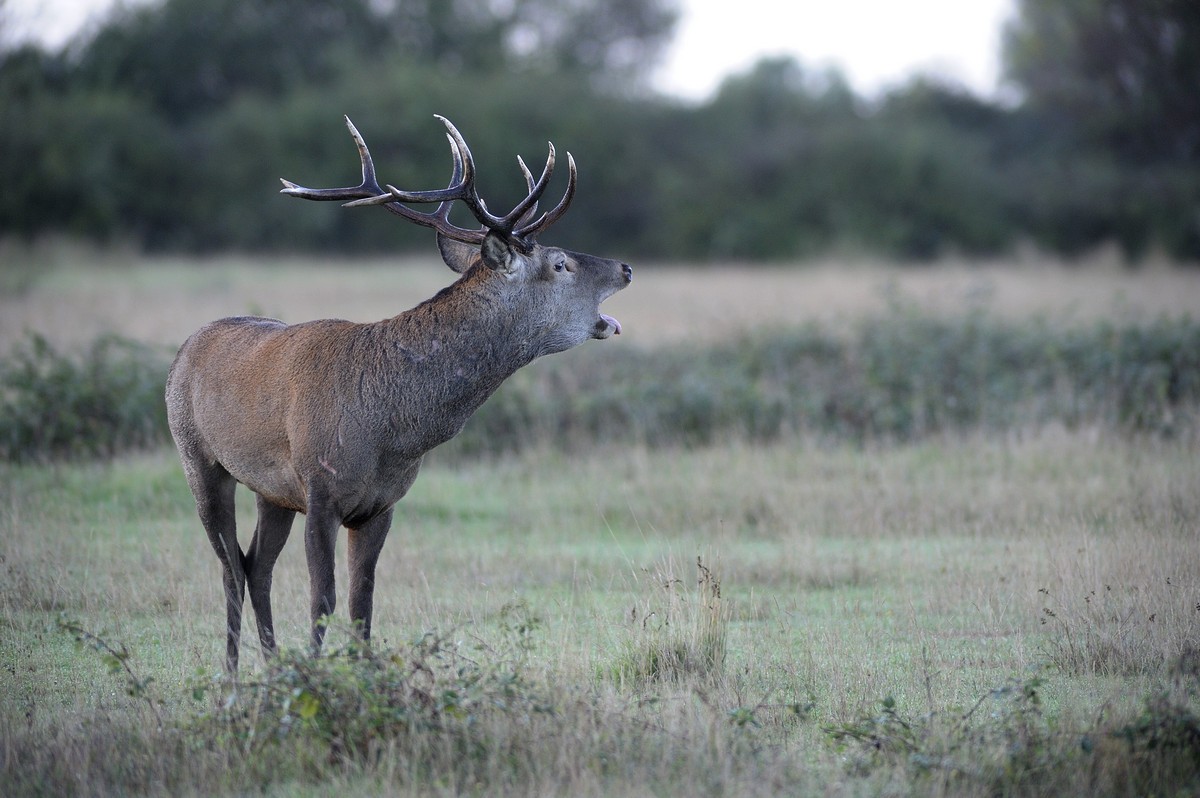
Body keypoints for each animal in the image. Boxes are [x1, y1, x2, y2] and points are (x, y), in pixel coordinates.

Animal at [165, 113, 633, 672]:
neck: (391, 431)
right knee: (231, 567)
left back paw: (274, 667)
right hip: (198, 457)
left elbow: (362, 603)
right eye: (560, 263)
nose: (626, 267)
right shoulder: (320, 491)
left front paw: (359, 675)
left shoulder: (381, 505)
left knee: (256, 565)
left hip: (270, 490)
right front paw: (316, 681)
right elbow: (322, 599)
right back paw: (235, 676)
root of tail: (187, 345)